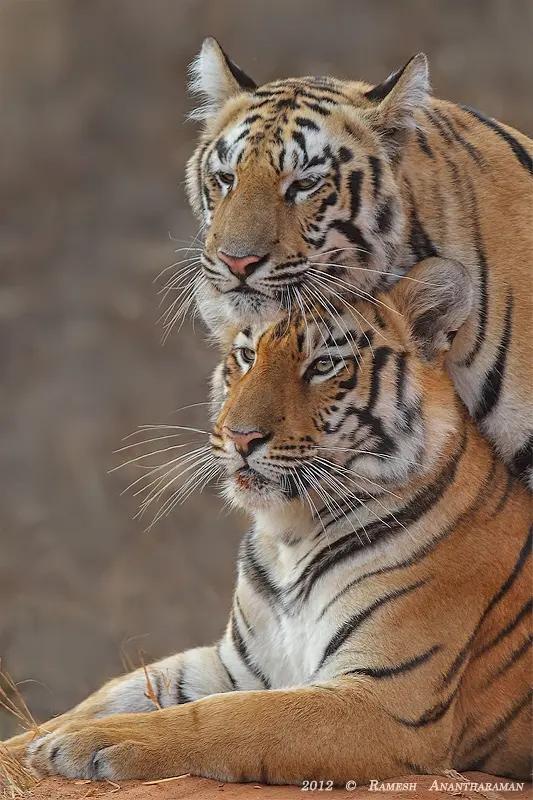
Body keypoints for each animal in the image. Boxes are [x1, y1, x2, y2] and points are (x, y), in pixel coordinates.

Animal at [4, 260, 532, 784]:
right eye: (245, 356)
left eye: (323, 365)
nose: (240, 436)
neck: (291, 536)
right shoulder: (233, 664)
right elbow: (107, 694)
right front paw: (33, 745)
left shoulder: (387, 699)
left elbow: (228, 715)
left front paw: (92, 741)